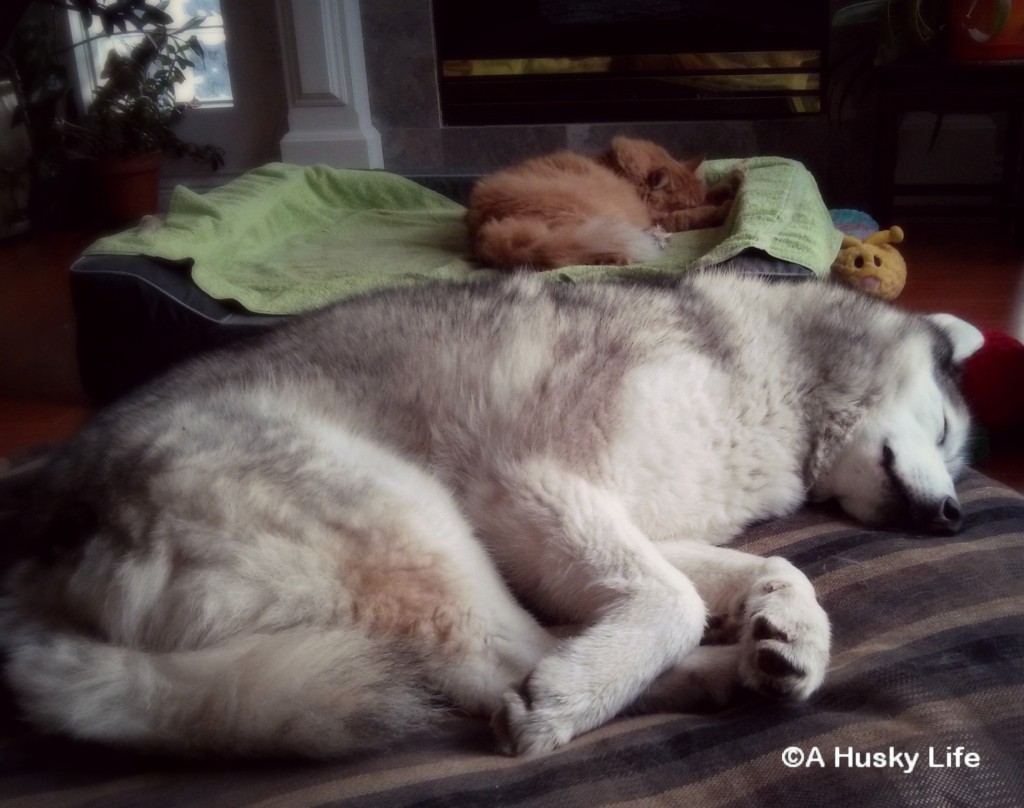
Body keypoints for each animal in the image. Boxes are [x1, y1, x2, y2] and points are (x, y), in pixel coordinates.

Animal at [0, 272, 983, 757]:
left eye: (956, 452)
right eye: (944, 429)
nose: (953, 517)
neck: (771, 371)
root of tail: (32, 574)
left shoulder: (632, 527)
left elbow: (773, 567)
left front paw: (792, 627)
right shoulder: (531, 487)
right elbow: (671, 600)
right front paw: (595, 681)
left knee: (514, 651)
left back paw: (732, 673)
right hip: (410, 514)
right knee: (500, 662)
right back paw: (575, 700)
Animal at [466, 135, 745, 268]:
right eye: (686, 205)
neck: (620, 173)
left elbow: (714, 192)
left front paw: (734, 182)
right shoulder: (663, 217)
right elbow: (698, 215)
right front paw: (726, 208)